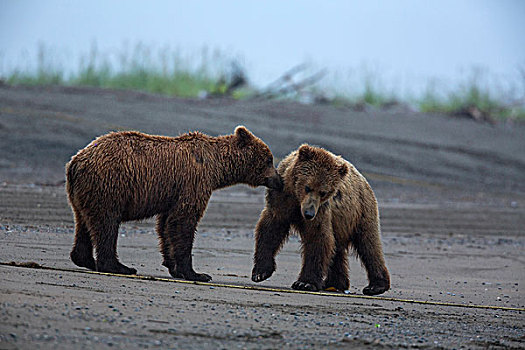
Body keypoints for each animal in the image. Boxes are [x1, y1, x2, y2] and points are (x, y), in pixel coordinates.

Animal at [68, 126, 284, 282]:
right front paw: (196, 273)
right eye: (269, 159)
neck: (217, 168)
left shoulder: (174, 194)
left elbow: (166, 225)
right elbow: (183, 221)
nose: (279, 180)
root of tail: (76, 160)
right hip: (110, 185)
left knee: (84, 222)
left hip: (85, 193)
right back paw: (119, 266)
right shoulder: (194, 183)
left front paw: (173, 266)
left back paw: (85, 259)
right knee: (107, 224)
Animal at [250, 144, 388, 294]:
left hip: (361, 212)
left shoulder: (321, 210)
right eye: (307, 187)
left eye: (323, 192)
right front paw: (260, 273)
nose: (309, 213)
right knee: (337, 249)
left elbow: (318, 238)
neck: (297, 199)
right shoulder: (281, 199)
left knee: (369, 245)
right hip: (341, 222)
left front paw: (304, 283)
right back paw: (335, 283)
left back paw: (376, 286)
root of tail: (363, 180)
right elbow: (270, 230)